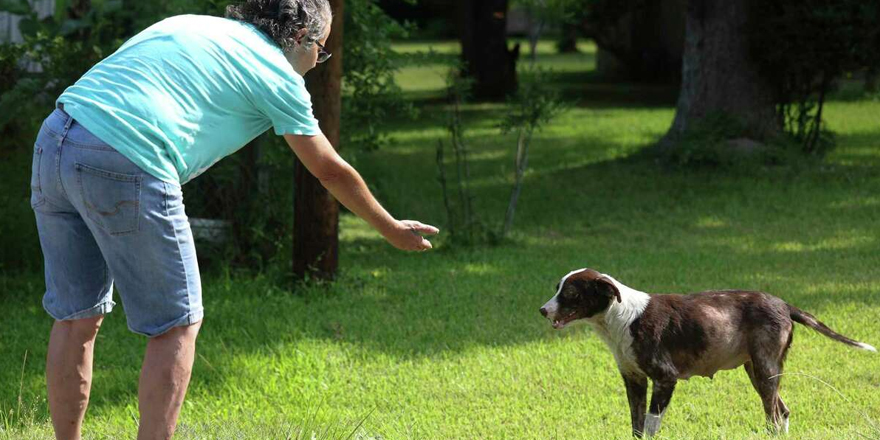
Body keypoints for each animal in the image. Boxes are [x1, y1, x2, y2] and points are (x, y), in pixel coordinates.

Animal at [536, 268, 872, 436]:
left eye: (570, 293)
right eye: (556, 289)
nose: (542, 310)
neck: (623, 318)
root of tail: (784, 304)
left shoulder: (664, 379)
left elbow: (651, 426)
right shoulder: (634, 381)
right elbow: (636, 426)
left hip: (765, 370)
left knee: (775, 416)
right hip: (759, 371)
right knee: (783, 412)